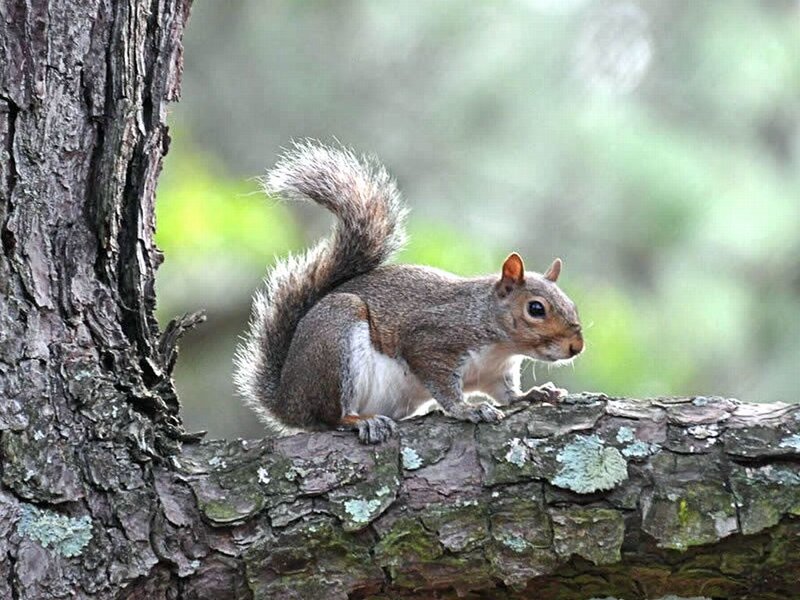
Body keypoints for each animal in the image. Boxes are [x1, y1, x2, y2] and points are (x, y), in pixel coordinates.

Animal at [234, 141, 584, 444]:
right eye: (536, 309)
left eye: (571, 304)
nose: (576, 347)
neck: (499, 345)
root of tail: (287, 401)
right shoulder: (432, 342)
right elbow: (443, 386)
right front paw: (467, 409)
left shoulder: (496, 373)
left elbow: (508, 394)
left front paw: (535, 394)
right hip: (334, 340)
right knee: (329, 417)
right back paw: (360, 420)